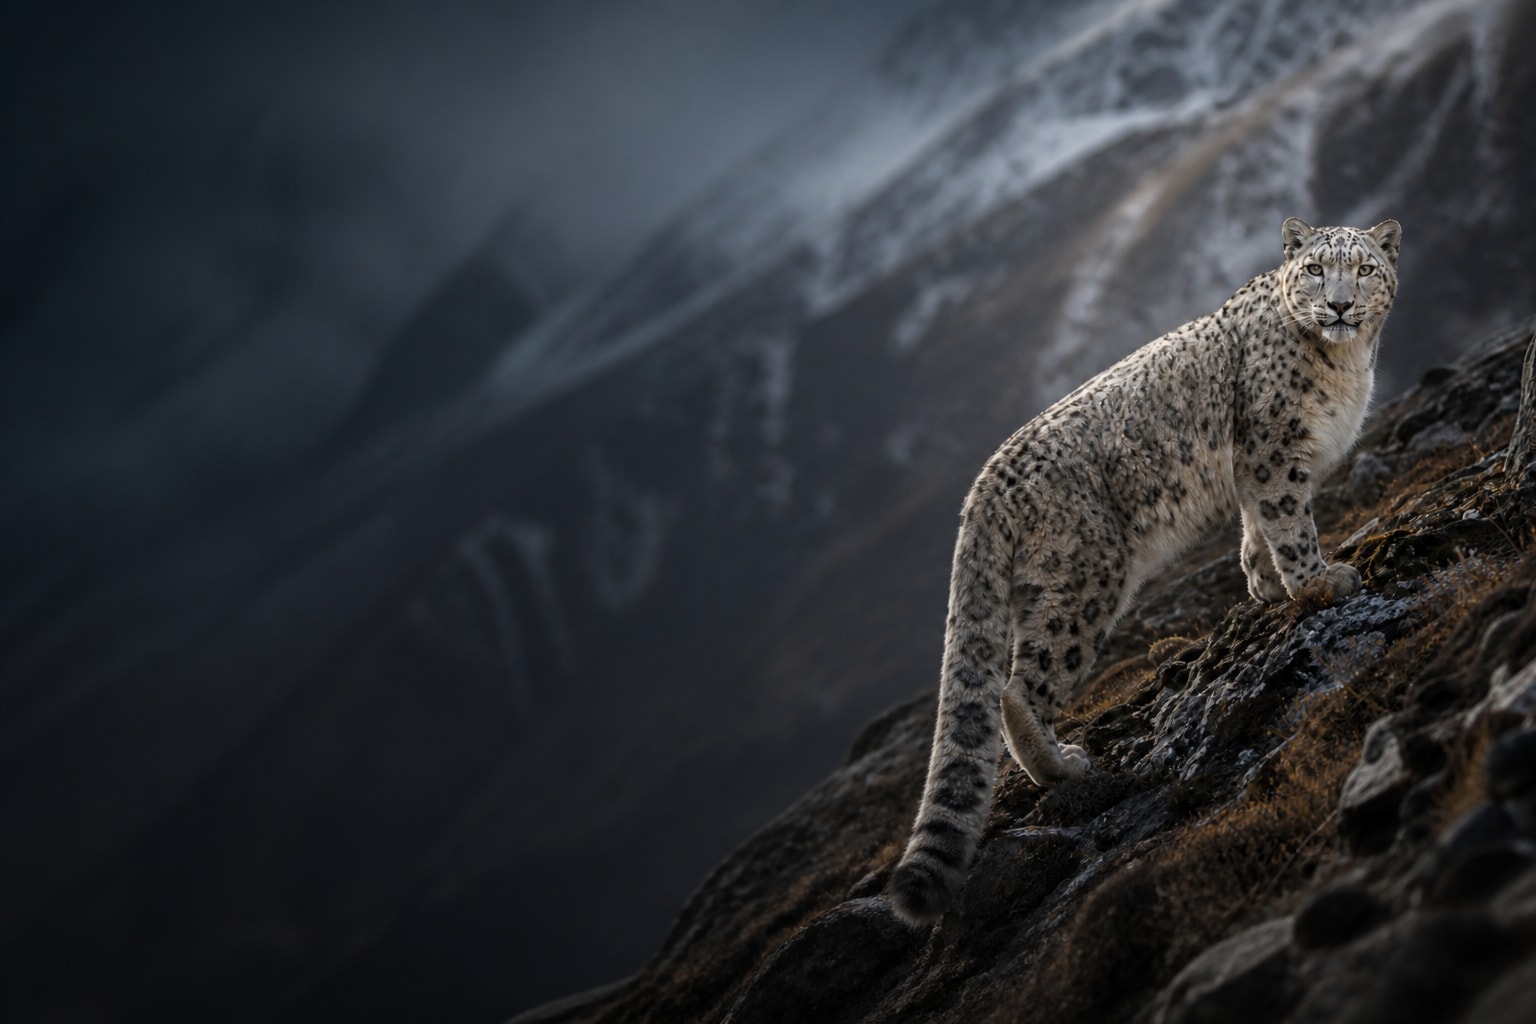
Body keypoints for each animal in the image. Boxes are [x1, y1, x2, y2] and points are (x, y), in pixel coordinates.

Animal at [889, 217, 1402, 926]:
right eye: (1316, 270)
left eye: (1366, 268)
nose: (1342, 306)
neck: (1346, 366)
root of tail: (984, 487)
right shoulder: (1274, 454)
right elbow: (1290, 525)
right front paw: (1319, 583)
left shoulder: (1258, 473)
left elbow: (1257, 532)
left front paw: (1267, 587)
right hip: (1086, 579)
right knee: (1018, 686)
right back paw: (1064, 767)